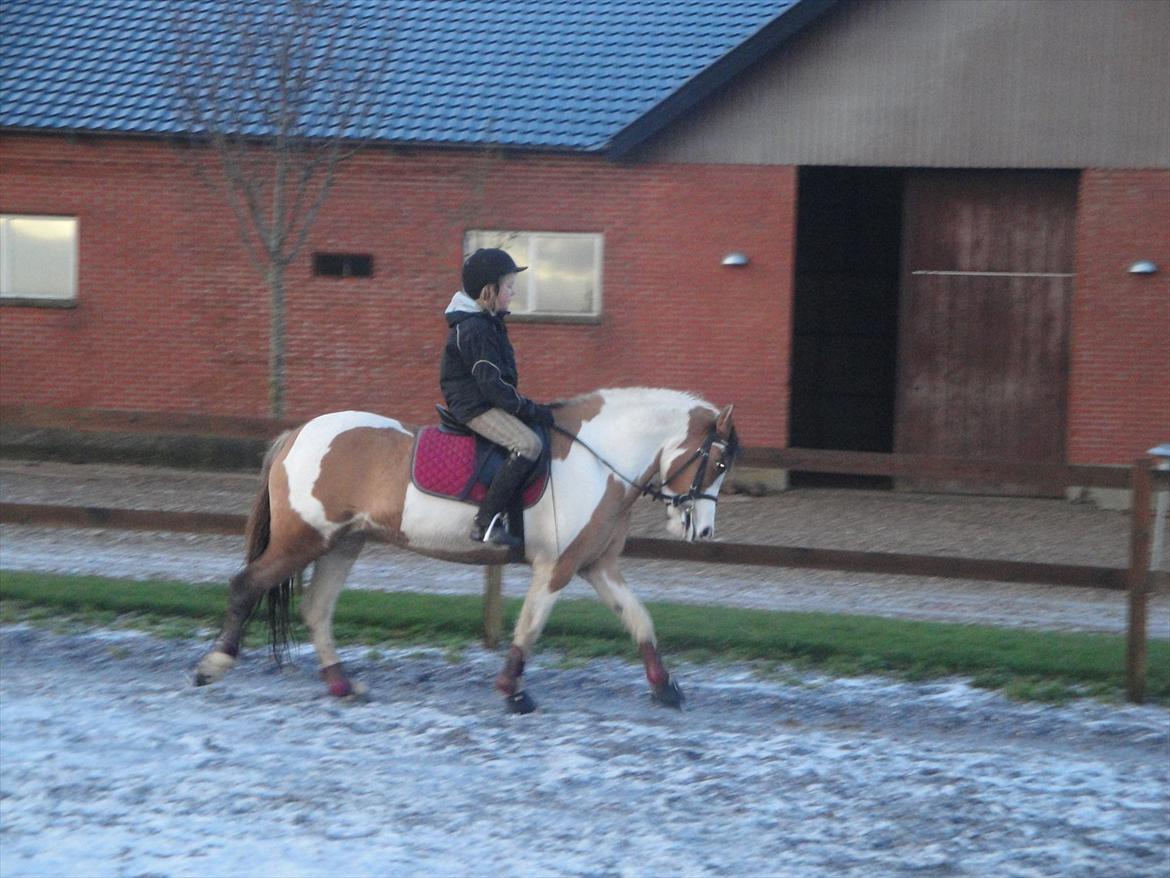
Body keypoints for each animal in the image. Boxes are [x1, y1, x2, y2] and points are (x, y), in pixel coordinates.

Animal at [191, 388, 739, 711]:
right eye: (715, 463)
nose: (703, 532)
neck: (597, 459)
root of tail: (297, 434)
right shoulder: (557, 566)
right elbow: (530, 627)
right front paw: (513, 691)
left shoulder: (595, 566)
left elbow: (640, 620)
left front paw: (666, 687)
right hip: (303, 538)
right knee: (247, 585)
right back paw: (213, 665)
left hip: (342, 543)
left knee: (316, 608)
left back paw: (343, 686)